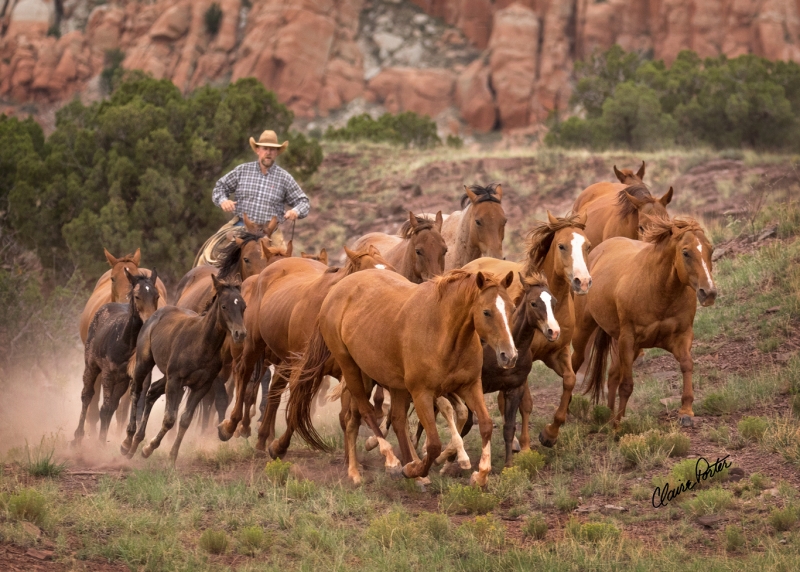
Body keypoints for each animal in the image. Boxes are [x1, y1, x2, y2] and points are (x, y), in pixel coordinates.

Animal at [121, 276, 247, 460]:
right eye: (224, 306)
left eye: (243, 306)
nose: (240, 334)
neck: (201, 344)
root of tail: (154, 315)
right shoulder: (175, 382)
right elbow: (169, 419)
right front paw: (149, 448)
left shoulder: (201, 386)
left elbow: (185, 420)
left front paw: (170, 456)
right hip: (144, 364)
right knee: (136, 391)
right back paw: (127, 442)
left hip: (166, 376)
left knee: (152, 392)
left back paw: (137, 441)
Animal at [217, 242, 396, 452]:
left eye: (393, 271)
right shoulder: (302, 370)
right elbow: (295, 410)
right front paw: (278, 446)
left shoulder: (348, 375)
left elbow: (347, 418)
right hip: (253, 344)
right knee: (244, 375)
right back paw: (231, 427)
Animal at [284, 270, 516, 484]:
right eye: (486, 312)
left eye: (512, 308)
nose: (510, 355)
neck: (442, 333)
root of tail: (336, 290)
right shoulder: (422, 393)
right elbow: (433, 444)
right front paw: (413, 469)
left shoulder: (470, 386)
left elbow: (485, 425)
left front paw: (480, 475)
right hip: (351, 368)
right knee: (364, 412)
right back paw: (385, 463)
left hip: (390, 382)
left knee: (390, 419)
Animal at [462, 212, 592, 450]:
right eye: (561, 245)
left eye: (587, 246)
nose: (583, 282)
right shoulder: (523, 358)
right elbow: (527, 404)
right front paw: (525, 446)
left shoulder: (557, 353)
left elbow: (569, 381)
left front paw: (550, 434)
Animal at [568, 217, 720, 426]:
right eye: (686, 252)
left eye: (710, 250)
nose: (709, 292)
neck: (659, 290)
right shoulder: (629, 340)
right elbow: (626, 384)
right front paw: (619, 424)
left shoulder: (681, 336)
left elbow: (687, 364)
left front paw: (686, 412)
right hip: (584, 330)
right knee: (576, 364)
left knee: (612, 375)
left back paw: (608, 415)